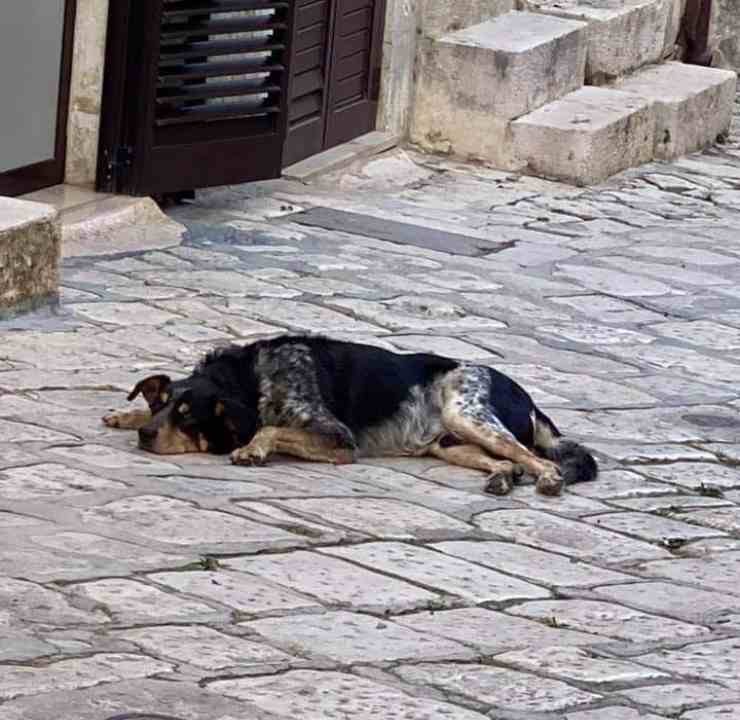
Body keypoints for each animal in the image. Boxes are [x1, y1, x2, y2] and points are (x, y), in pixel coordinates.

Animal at [104, 336, 600, 496]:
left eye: (189, 417)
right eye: (161, 404)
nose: (146, 436)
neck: (250, 379)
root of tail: (529, 397)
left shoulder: (339, 439)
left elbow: (271, 428)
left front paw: (252, 449)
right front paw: (123, 414)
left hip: (467, 412)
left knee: (537, 459)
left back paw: (548, 479)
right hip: (450, 444)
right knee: (508, 461)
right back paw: (501, 478)